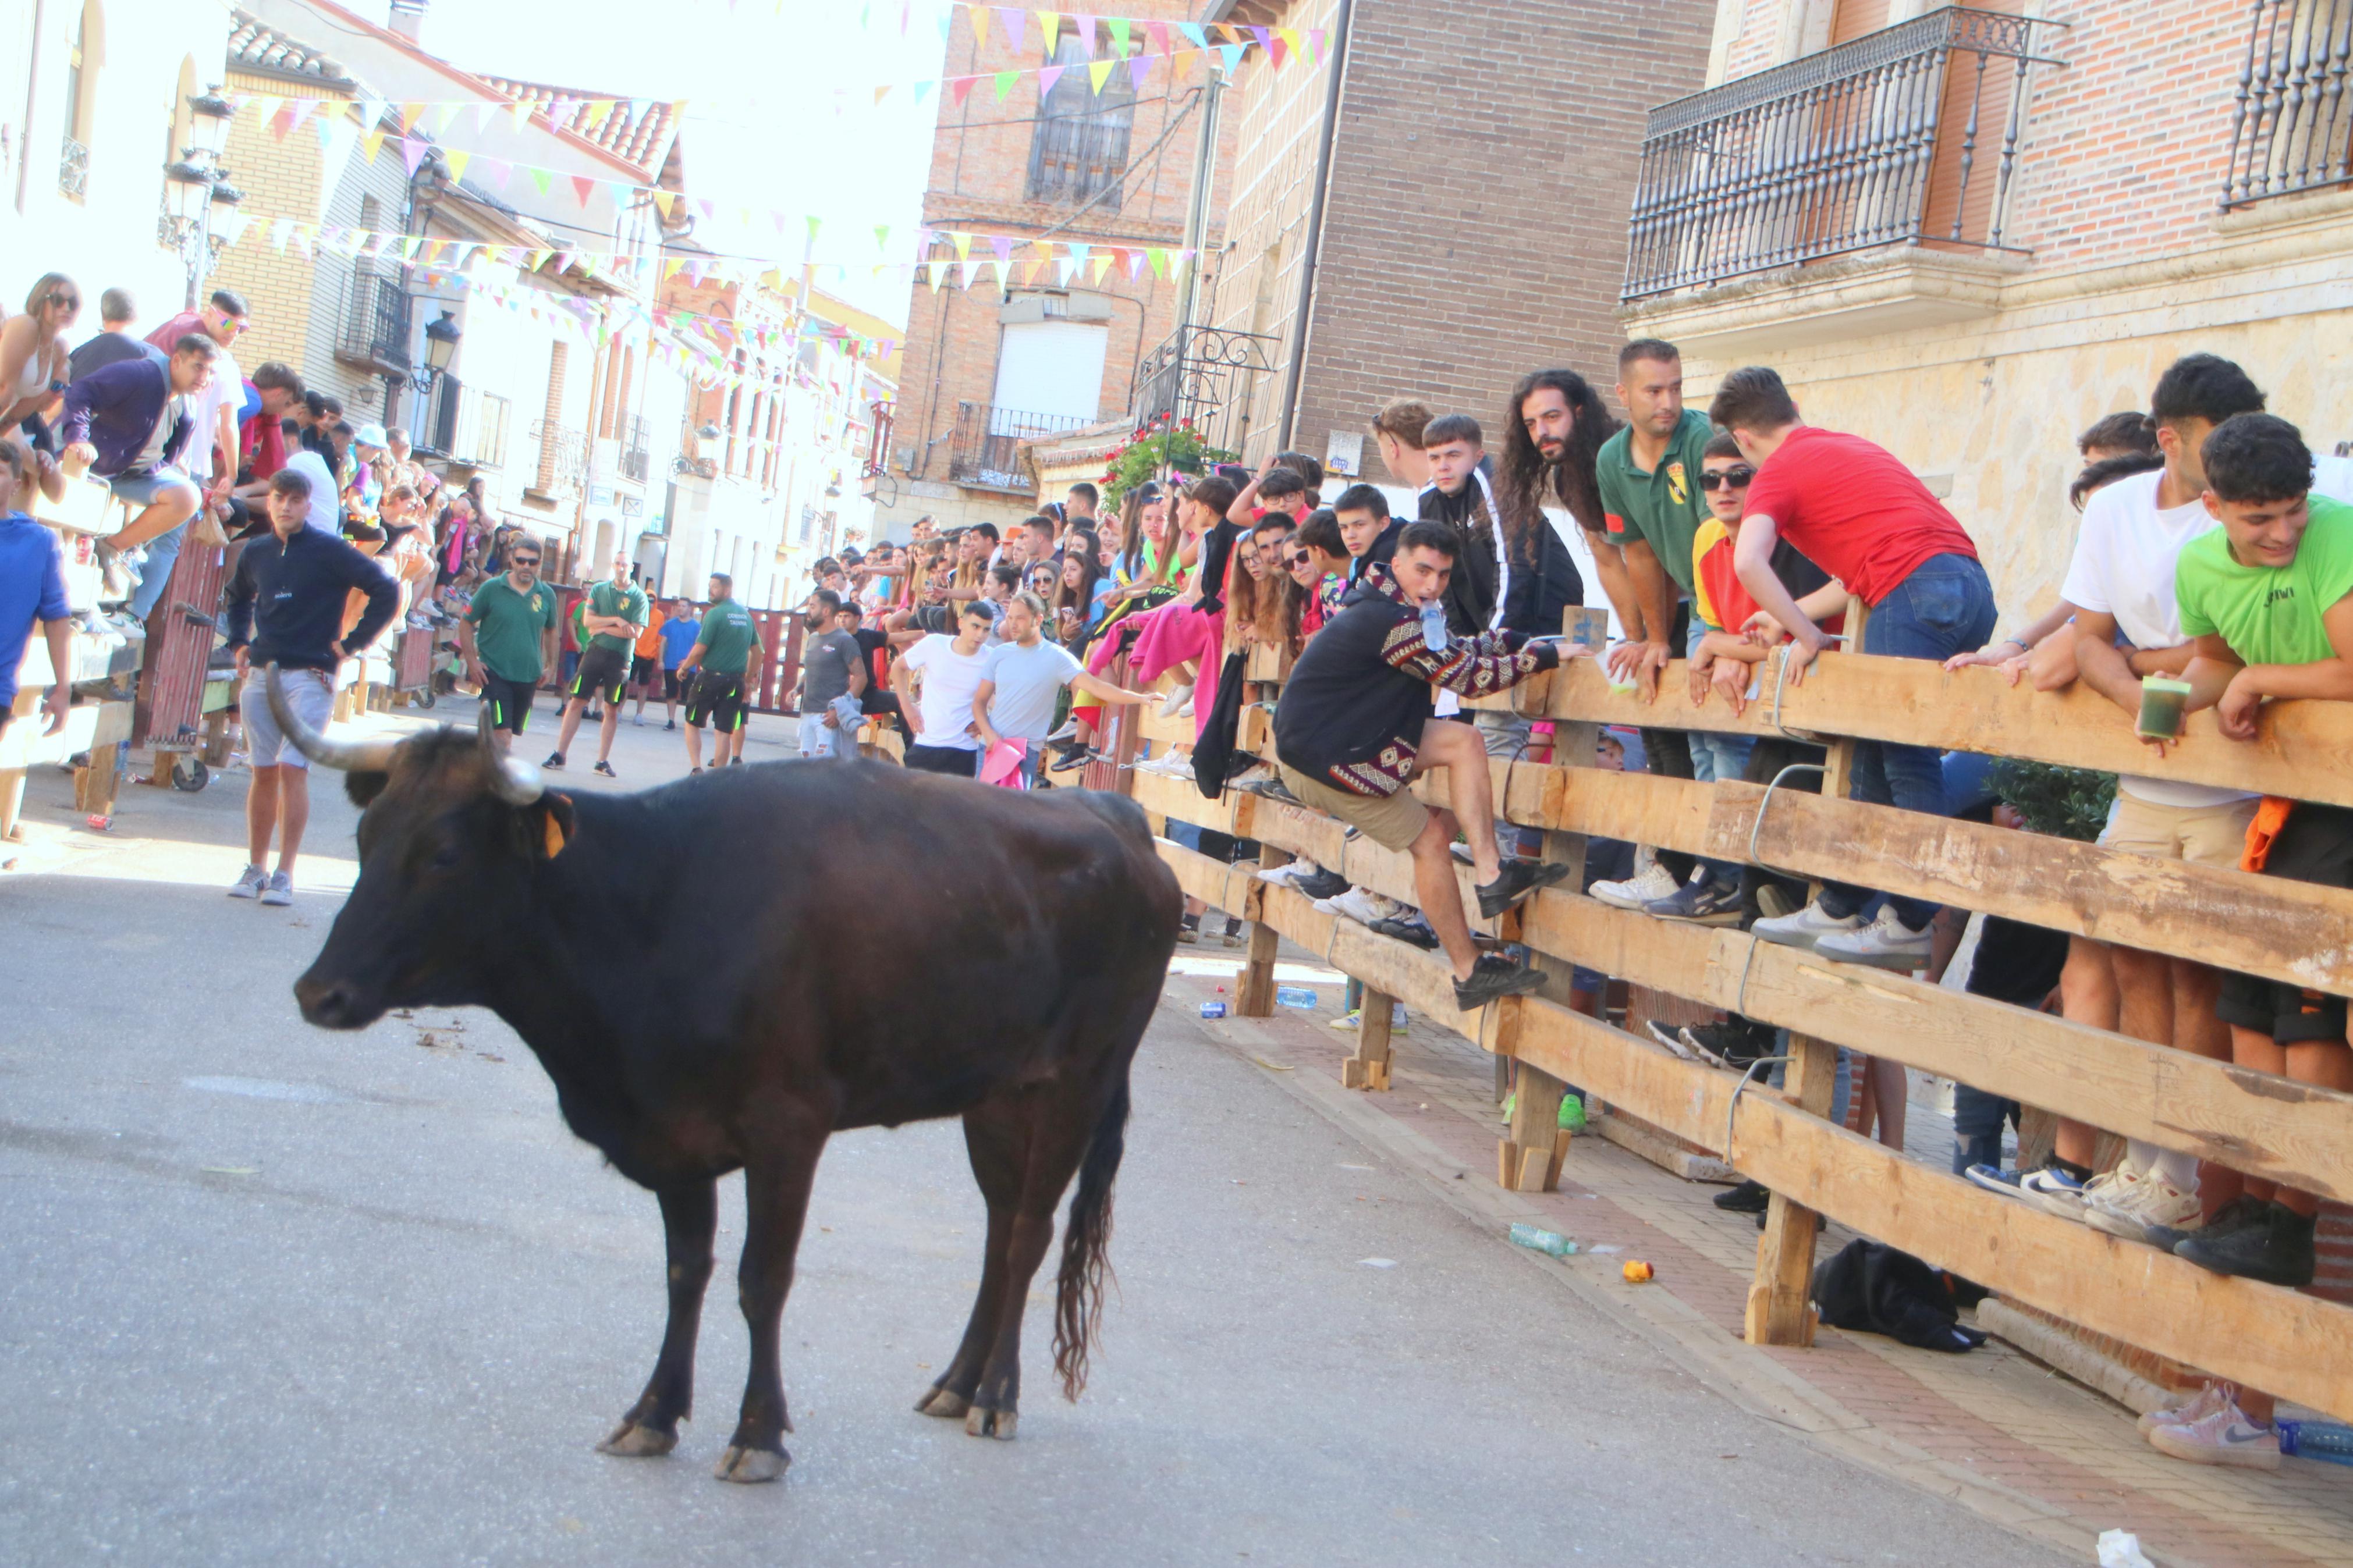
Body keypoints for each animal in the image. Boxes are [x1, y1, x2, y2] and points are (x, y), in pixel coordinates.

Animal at [270, 677, 1176, 1485]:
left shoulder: (788, 1127)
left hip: (1077, 1083)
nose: (317, 993)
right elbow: (686, 1273)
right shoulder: (676, 1131)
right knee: (997, 1228)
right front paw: (653, 1413)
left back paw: (996, 1394)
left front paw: (759, 1434)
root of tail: (1115, 818)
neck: (652, 908)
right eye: (367, 838)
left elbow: (760, 1280)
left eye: (445, 855)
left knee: (1027, 1232)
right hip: (994, 1095)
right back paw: (956, 1381)